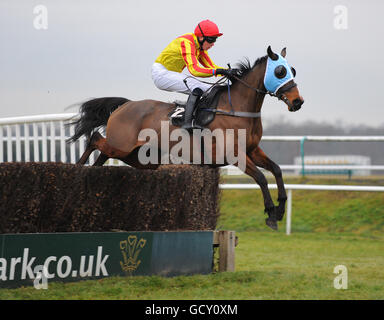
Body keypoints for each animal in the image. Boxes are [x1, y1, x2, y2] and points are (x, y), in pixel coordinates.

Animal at [67, 45, 304, 230]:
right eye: (280, 71)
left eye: (292, 69)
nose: (297, 102)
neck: (237, 108)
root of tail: (125, 105)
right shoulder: (234, 155)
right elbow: (262, 177)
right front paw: (271, 213)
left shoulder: (252, 150)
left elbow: (276, 170)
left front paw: (280, 209)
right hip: (122, 146)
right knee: (95, 138)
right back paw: (77, 168)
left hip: (137, 156)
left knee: (103, 153)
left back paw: (92, 174)